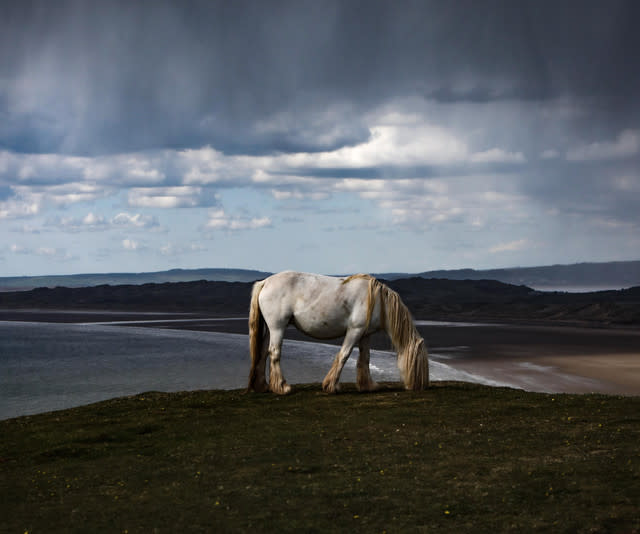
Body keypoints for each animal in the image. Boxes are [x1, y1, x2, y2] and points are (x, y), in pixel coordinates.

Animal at [248, 272, 428, 394]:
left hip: (271, 330)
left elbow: (365, 358)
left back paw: (263, 386)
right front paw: (331, 386)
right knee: (274, 353)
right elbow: (344, 355)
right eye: (418, 362)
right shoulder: (355, 330)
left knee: (263, 353)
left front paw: (368, 385)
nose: (420, 386)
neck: (378, 301)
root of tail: (265, 282)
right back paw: (282, 387)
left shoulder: (365, 334)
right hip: (278, 327)